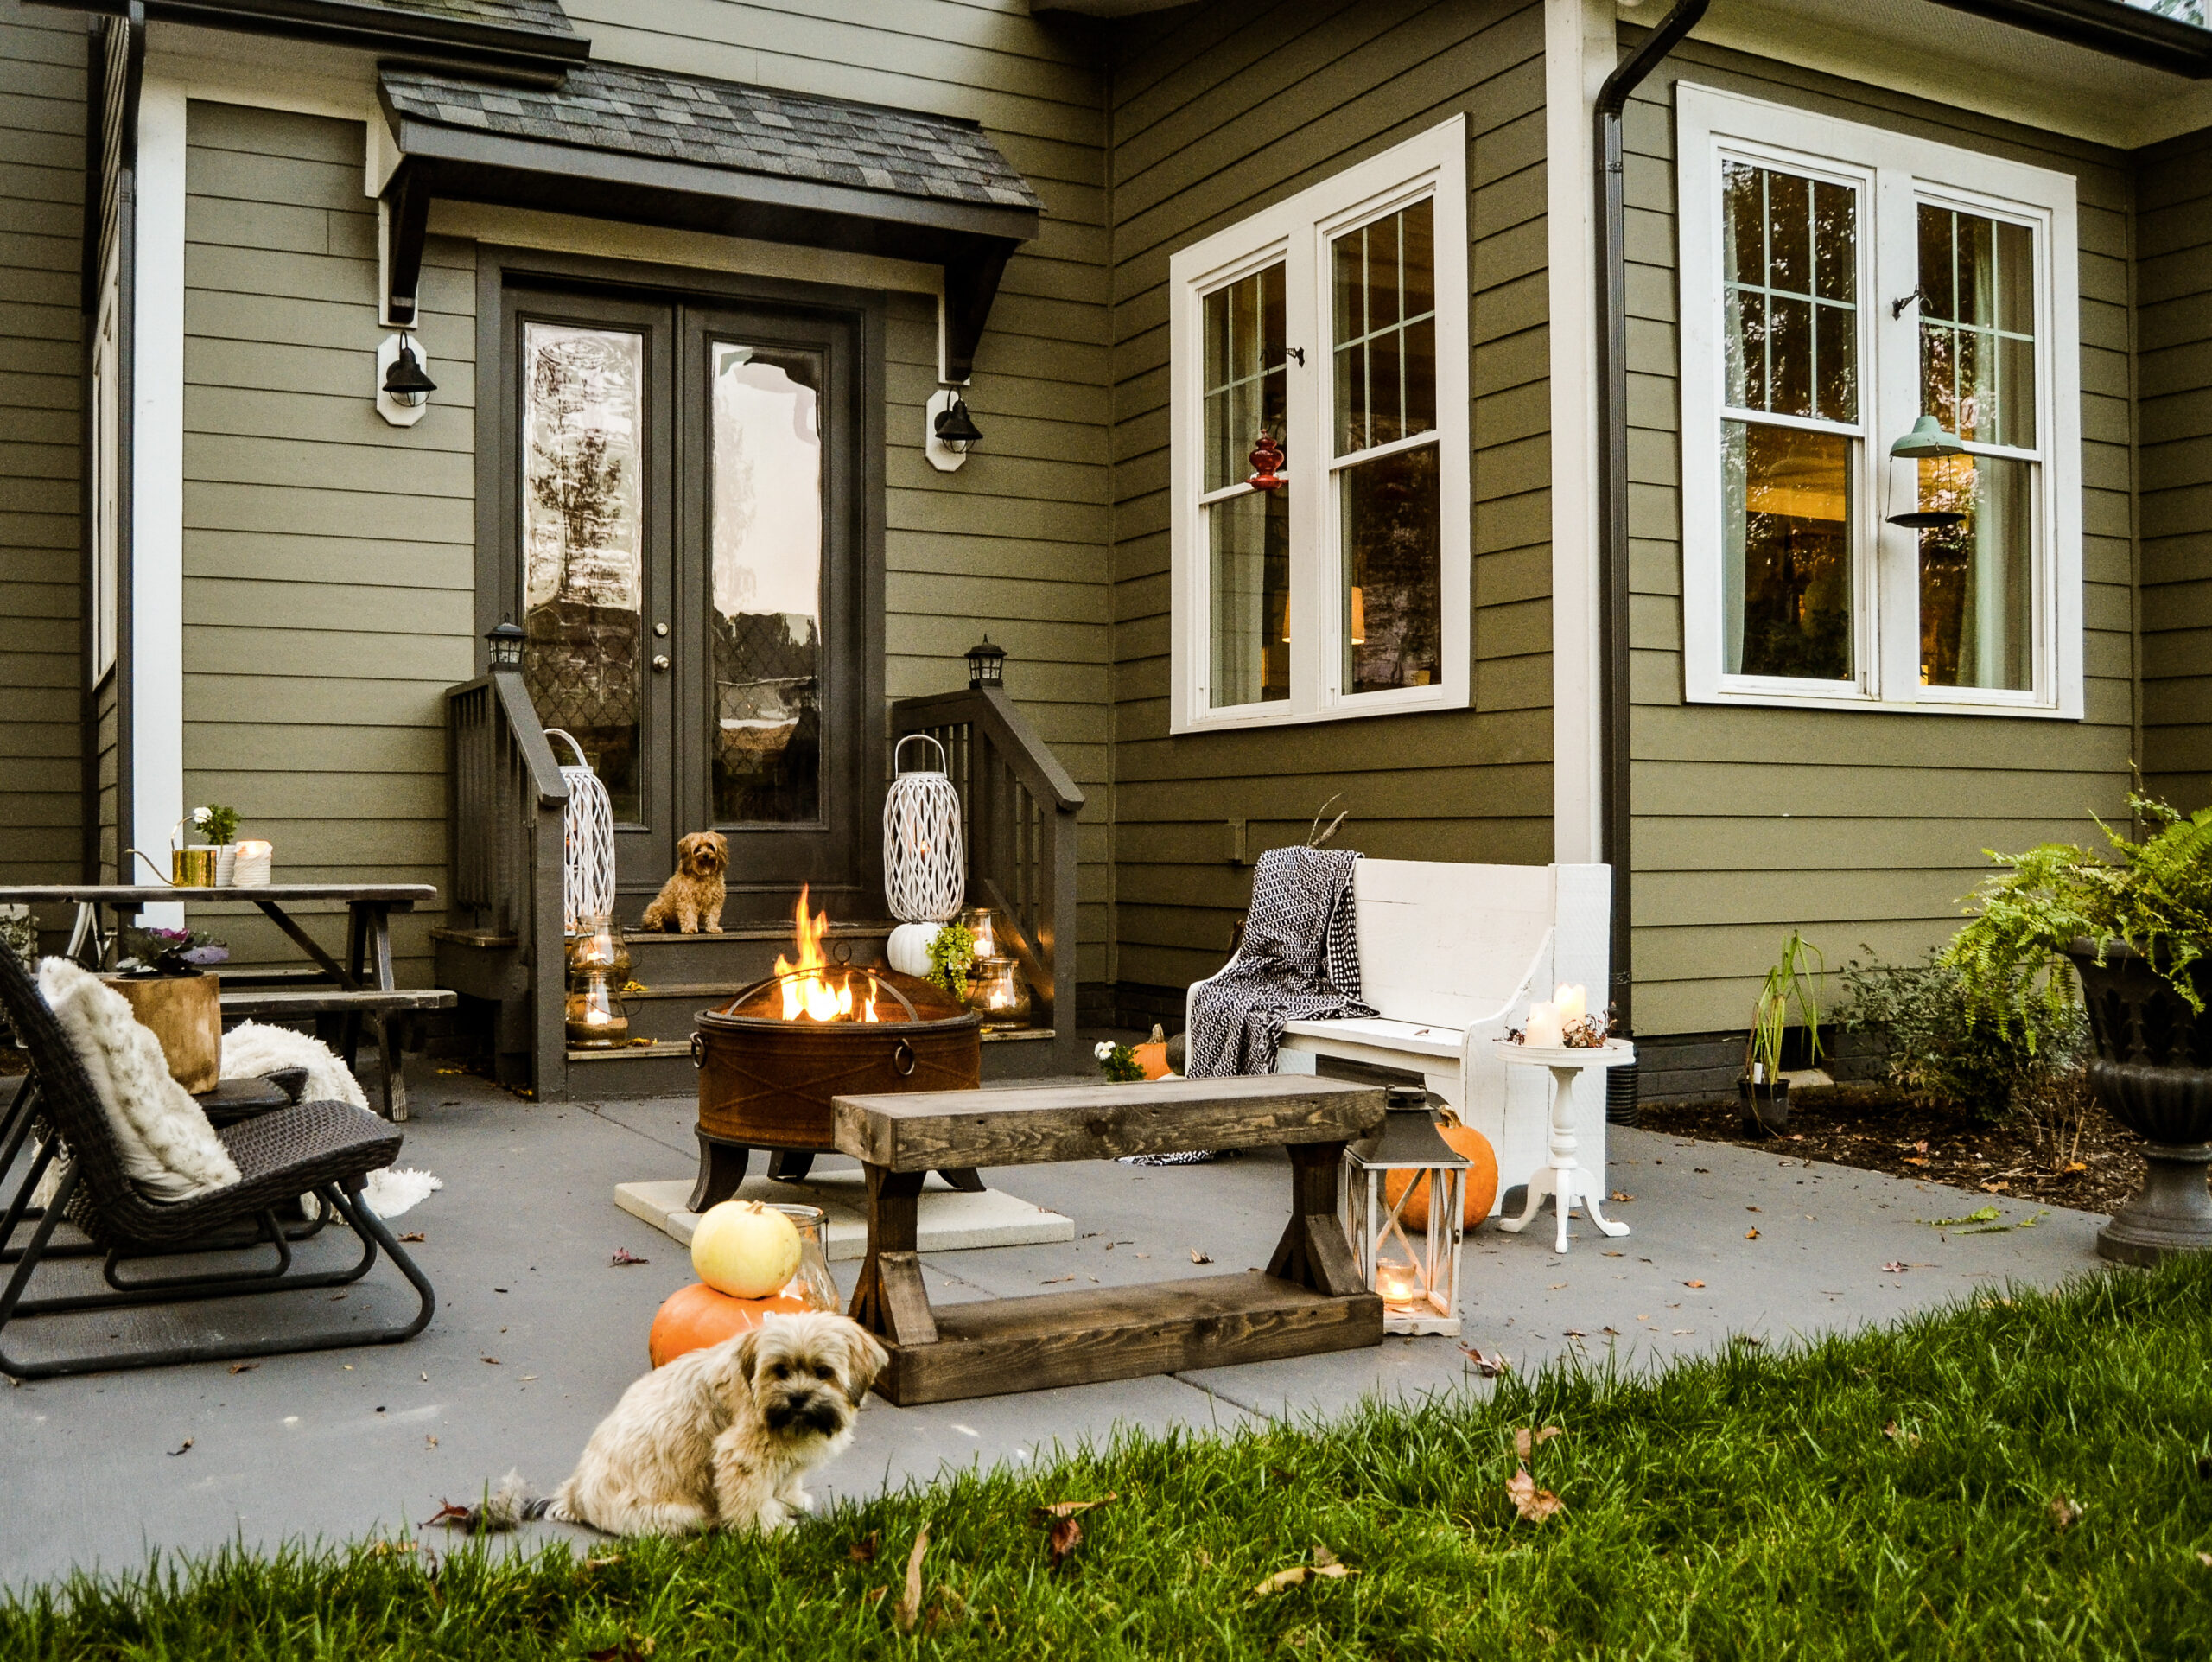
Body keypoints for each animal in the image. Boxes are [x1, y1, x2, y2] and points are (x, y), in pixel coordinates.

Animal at [548, 1309, 885, 1540]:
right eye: (780, 1370)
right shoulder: (742, 1456)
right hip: (672, 1512)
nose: (798, 1398)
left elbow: (786, 1481)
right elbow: (751, 1499)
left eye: (823, 1371)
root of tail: (575, 1494)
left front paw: (789, 1501)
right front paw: (767, 1531)